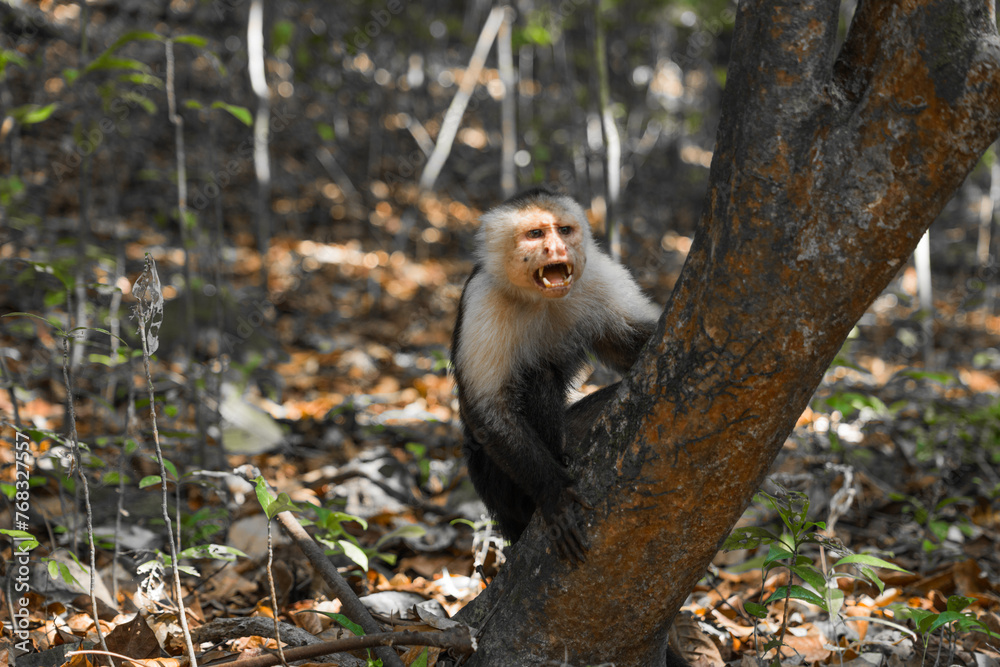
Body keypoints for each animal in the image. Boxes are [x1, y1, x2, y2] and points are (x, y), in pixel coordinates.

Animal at [451, 187, 660, 563]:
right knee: (539, 378)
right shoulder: (482, 298)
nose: (558, 249)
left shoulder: (600, 276)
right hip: (494, 486)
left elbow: (631, 347)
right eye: (535, 234)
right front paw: (553, 491)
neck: (539, 298)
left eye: (564, 231)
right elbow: (488, 408)